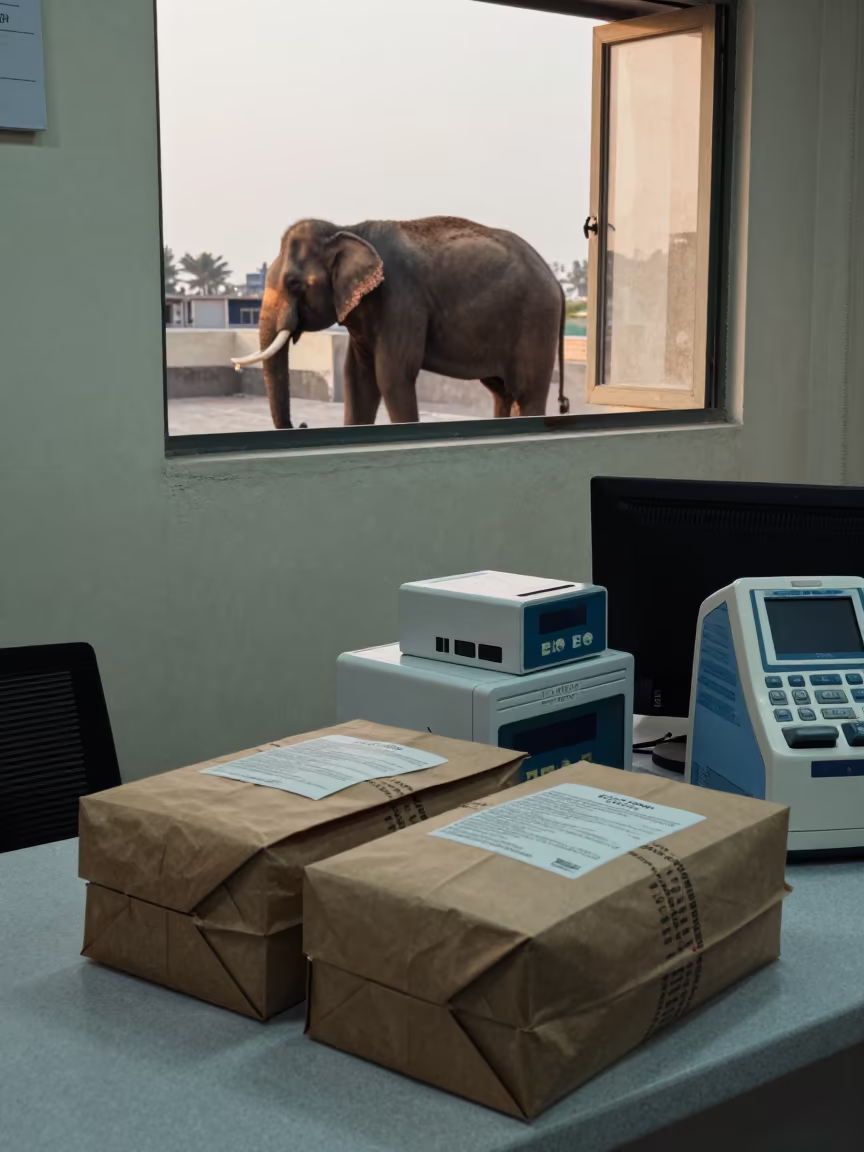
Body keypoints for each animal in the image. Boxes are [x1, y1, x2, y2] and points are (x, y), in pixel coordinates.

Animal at [232, 216, 570, 429]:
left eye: (294, 284)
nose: (301, 423)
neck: (347, 229)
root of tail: (557, 283)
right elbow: (358, 379)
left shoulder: (401, 300)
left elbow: (392, 376)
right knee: (502, 391)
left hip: (535, 320)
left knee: (526, 392)